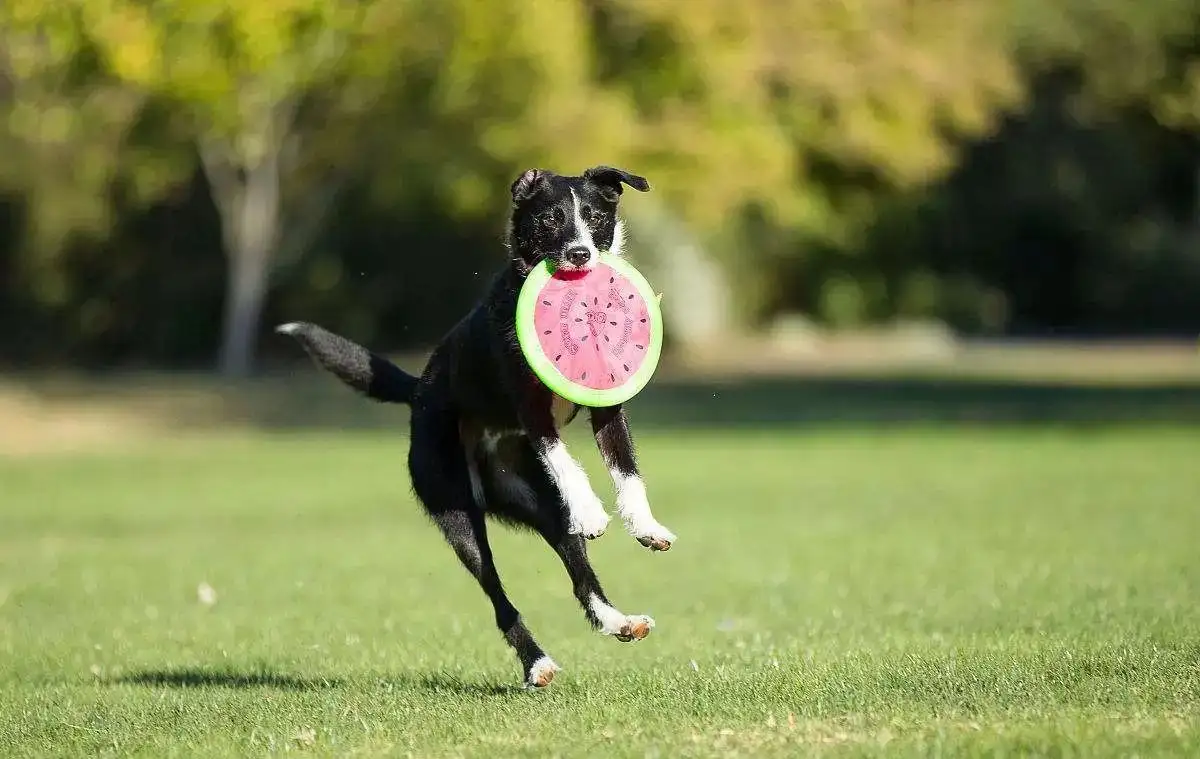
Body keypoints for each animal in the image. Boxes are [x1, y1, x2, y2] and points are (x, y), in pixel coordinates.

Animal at [274, 165, 681, 686]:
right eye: (550, 218)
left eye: (594, 216)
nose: (580, 254)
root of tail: (420, 392)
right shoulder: (531, 412)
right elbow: (565, 461)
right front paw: (592, 512)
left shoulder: (609, 407)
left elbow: (627, 471)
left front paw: (646, 527)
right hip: (458, 516)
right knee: (497, 596)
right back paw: (537, 662)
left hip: (542, 504)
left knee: (578, 572)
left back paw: (618, 621)